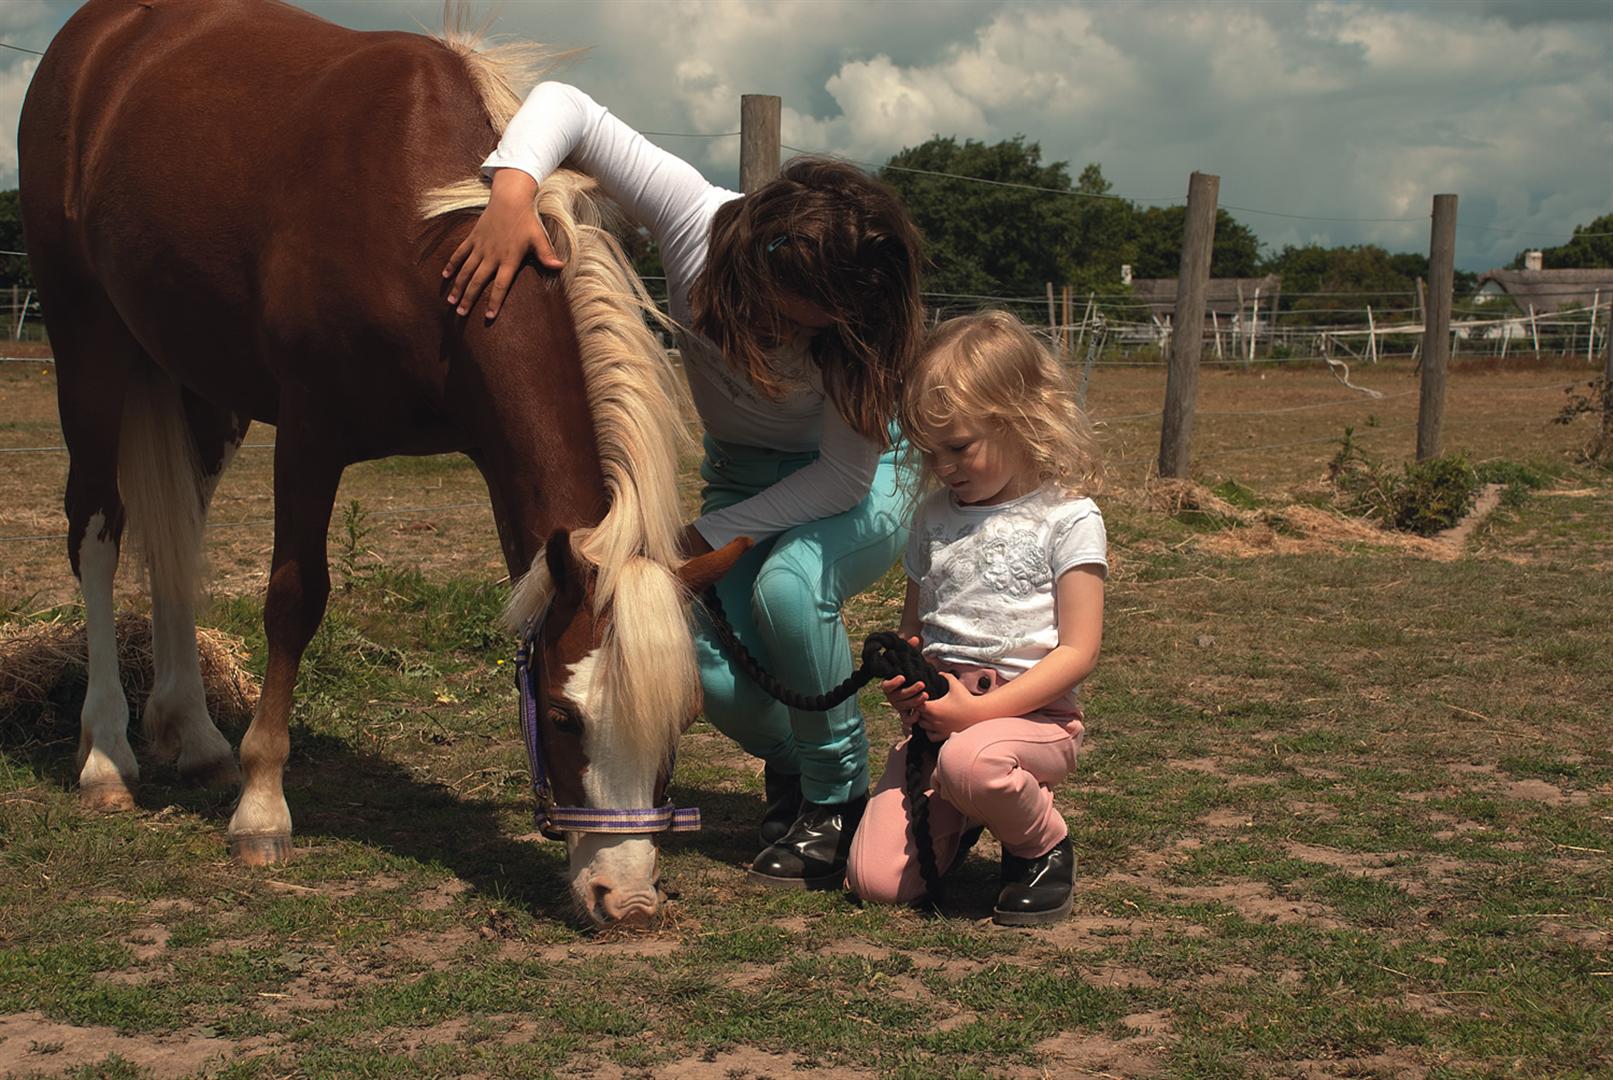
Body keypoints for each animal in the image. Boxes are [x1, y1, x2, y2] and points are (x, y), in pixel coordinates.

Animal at [17, 0, 745, 927]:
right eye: (562, 716)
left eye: (683, 722)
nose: (628, 900)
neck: (429, 237)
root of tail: (93, 40)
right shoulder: (309, 433)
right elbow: (294, 599)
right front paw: (262, 808)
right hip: (90, 352)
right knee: (99, 533)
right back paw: (106, 755)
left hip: (198, 387)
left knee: (177, 534)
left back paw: (194, 733)